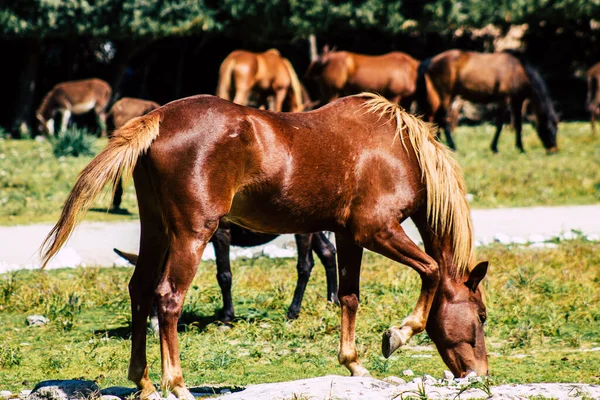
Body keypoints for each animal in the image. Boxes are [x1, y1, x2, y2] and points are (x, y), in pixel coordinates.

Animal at [112, 225, 338, 322]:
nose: (153, 324)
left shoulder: (222, 234)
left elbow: (224, 275)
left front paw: (227, 315)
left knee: (305, 264)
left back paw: (293, 311)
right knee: (328, 251)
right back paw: (332, 301)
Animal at [414, 50, 560, 153]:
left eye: (557, 129)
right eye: (549, 128)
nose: (554, 149)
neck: (517, 71)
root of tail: (431, 60)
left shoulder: (517, 100)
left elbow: (518, 124)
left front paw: (521, 148)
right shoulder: (503, 99)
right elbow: (500, 123)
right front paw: (495, 148)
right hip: (445, 95)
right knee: (442, 119)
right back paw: (452, 146)